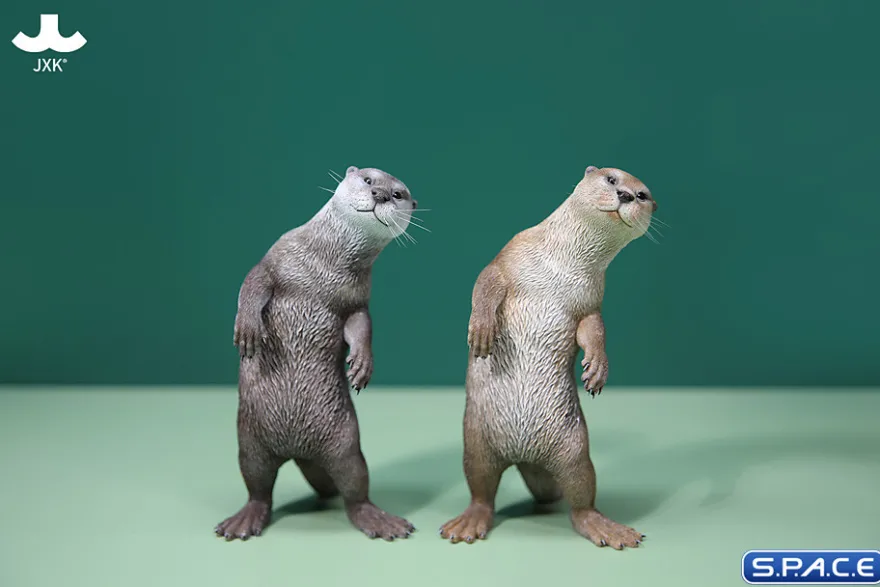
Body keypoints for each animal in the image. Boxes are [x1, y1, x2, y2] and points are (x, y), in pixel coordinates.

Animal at [215, 166, 418, 541]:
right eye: (368, 179)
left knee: (355, 486)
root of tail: (298, 451)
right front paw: (247, 328)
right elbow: (252, 283)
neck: (324, 269)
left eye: (398, 194)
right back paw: (245, 520)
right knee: (257, 486)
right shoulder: (276, 258)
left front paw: (362, 364)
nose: (381, 195)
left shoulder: (357, 299)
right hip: (250, 442)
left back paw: (378, 519)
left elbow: (361, 325)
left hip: (345, 443)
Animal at [439, 165, 656, 549]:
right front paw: (481, 329)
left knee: (582, 495)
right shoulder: (509, 255)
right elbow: (485, 282)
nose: (627, 195)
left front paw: (597, 368)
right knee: (481, 490)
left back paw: (606, 527)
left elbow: (594, 329)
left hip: (573, 447)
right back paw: (468, 522)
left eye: (643, 194)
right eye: (612, 179)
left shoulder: (592, 298)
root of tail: (524, 455)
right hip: (477, 443)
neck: (561, 266)